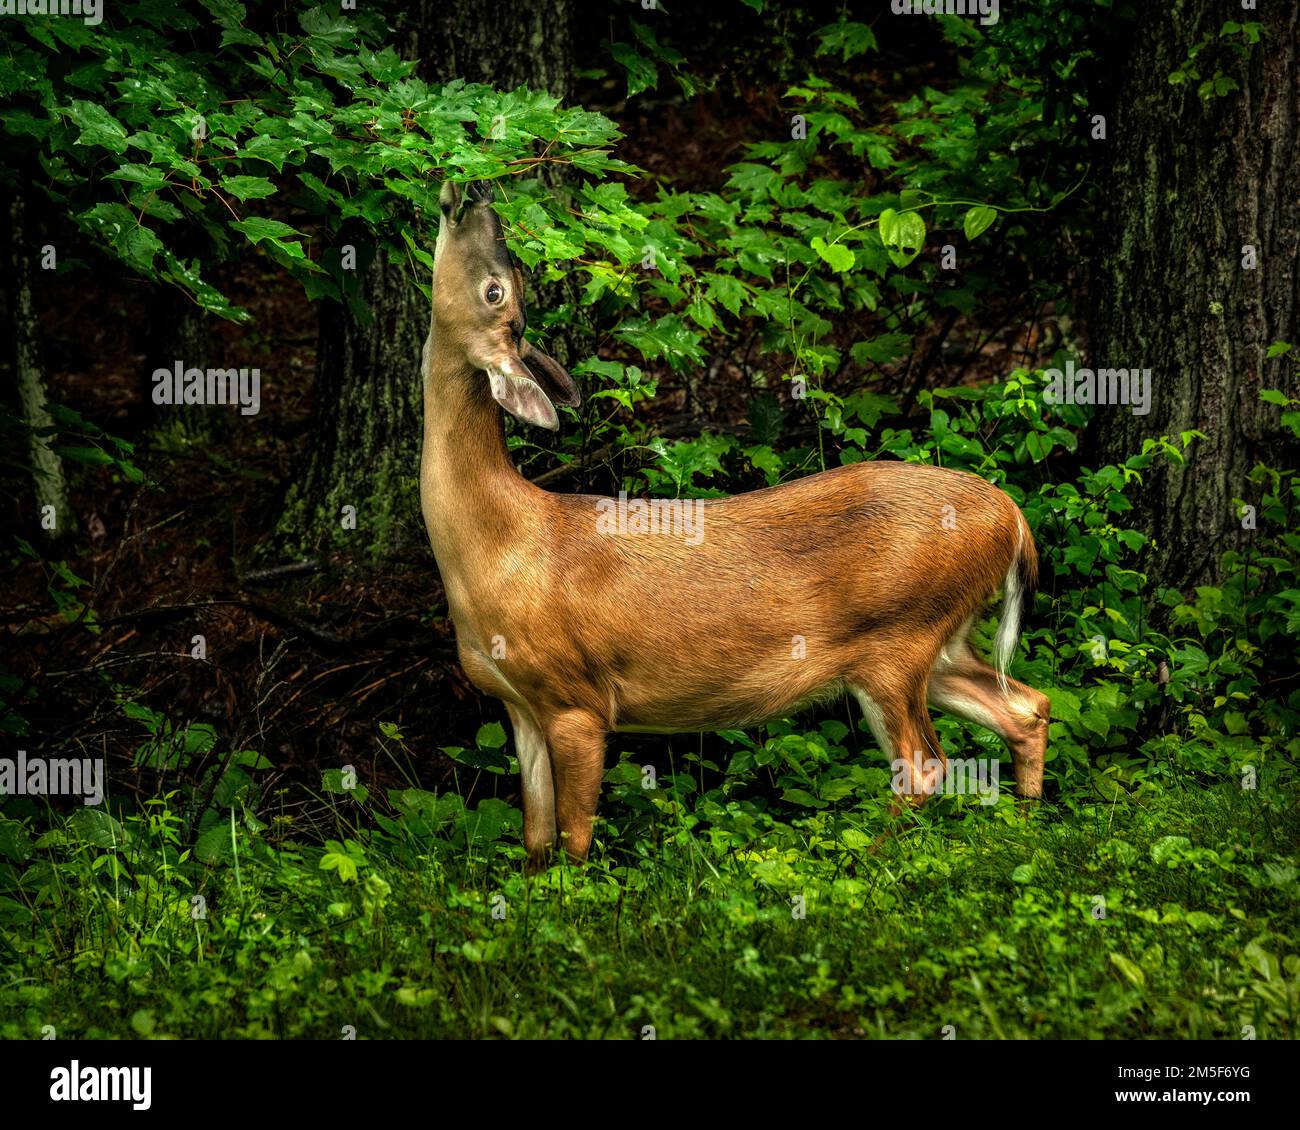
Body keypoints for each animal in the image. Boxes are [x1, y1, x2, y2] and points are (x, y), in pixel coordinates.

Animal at [421, 179, 1051, 870]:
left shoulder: (577, 699)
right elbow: (535, 839)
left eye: (500, 289)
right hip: (942, 642)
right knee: (1028, 707)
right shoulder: (517, 704)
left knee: (925, 767)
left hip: (897, 637)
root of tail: (1013, 518)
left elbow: (575, 837)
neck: (500, 544)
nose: (473, 195)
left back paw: (867, 859)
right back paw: (1026, 828)